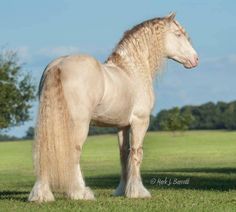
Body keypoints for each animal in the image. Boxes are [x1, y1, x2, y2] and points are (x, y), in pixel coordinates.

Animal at [29, 12, 199, 202]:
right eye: (178, 34)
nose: (195, 59)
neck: (131, 70)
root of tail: (58, 65)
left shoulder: (122, 126)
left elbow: (123, 155)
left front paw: (122, 190)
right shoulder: (140, 121)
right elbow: (137, 153)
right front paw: (138, 192)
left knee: (45, 151)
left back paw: (42, 195)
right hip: (79, 124)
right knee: (74, 152)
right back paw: (80, 193)